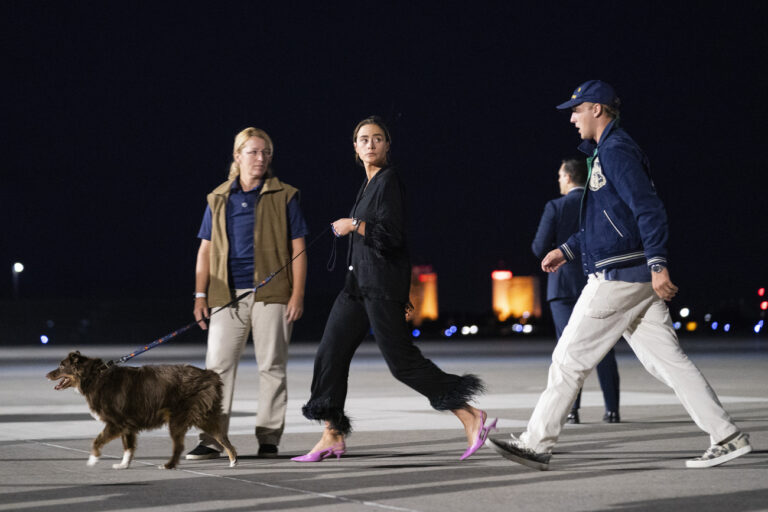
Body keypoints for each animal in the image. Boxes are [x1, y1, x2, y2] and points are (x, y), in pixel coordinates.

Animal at [46, 352, 237, 468]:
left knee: (179, 446)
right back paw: (233, 460)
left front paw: (93, 459)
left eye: (61, 366)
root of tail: (210, 375)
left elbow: (97, 440)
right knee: (223, 437)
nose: (47, 375)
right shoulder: (127, 425)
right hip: (205, 417)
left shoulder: (116, 423)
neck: (94, 376)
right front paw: (123, 465)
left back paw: (168, 465)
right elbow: (128, 447)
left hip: (178, 420)